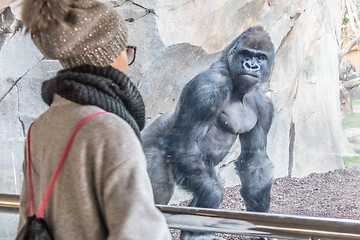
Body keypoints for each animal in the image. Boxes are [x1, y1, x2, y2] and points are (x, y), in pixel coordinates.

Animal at [142, 25, 274, 239]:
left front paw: (262, 221)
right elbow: (187, 148)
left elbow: (255, 160)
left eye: (260, 57)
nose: (251, 66)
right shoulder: (207, 88)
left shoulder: (263, 105)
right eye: (246, 54)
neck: (238, 90)